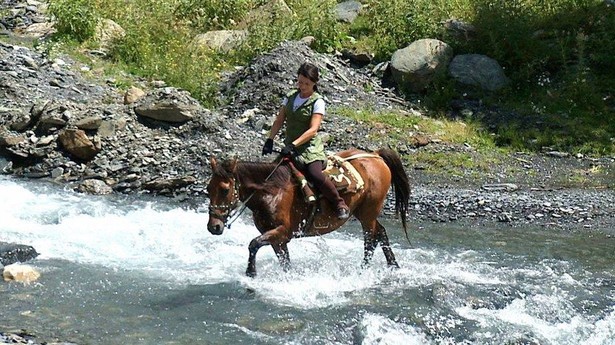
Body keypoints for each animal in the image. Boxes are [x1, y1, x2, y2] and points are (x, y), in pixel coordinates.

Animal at [207, 148, 414, 276]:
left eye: (225, 189)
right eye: (208, 189)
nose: (213, 227)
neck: (272, 191)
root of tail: (376, 156)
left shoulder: (282, 232)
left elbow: (253, 244)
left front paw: (251, 273)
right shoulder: (277, 239)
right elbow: (284, 261)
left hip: (368, 214)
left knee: (371, 240)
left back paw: (362, 271)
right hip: (364, 213)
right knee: (381, 233)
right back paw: (393, 266)